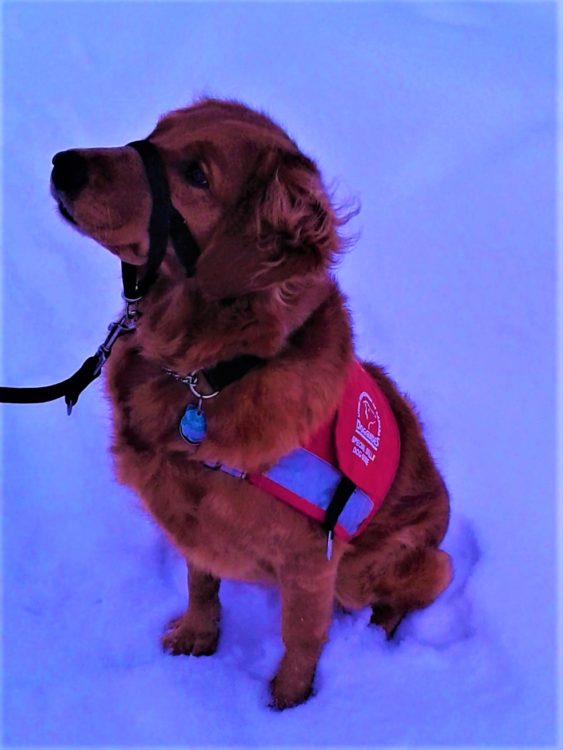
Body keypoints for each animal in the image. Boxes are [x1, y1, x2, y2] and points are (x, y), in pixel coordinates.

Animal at [49, 98, 454, 712]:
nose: (62, 165)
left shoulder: (312, 559)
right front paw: (198, 635)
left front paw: (287, 704)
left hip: (409, 563)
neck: (206, 372)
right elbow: (200, 581)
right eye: (154, 133)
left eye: (196, 175)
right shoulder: (190, 514)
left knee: (405, 593)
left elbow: (302, 635)